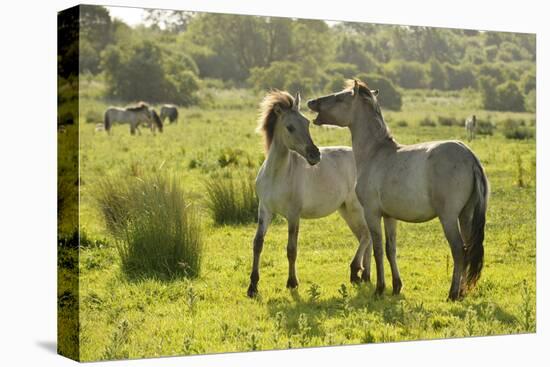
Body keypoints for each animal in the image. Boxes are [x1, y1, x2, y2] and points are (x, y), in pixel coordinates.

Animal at [247, 91, 374, 300]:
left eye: (307, 123)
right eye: (290, 127)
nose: (315, 156)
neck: (277, 174)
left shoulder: (293, 215)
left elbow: (291, 249)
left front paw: (292, 283)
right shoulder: (264, 211)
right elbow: (258, 244)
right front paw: (252, 286)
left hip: (355, 209)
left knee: (366, 236)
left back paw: (356, 272)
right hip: (347, 211)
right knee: (367, 238)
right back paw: (365, 276)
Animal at [310, 79, 492, 300]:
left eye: (339, 98)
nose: (311, 102)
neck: (375, 153)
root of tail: (469, 155)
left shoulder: (372, 213)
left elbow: (378, 249)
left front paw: (380, 288)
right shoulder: (390, 216)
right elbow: (391, 250)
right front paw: (396, 286)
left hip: (448, 218)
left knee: (459, 251)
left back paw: (453, 293)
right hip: (465, 216)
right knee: (468, 248)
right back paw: (463, 292)